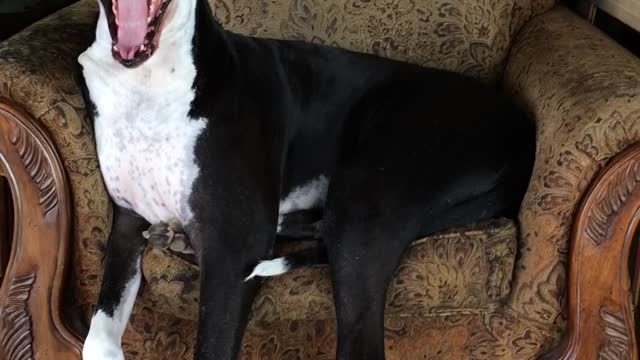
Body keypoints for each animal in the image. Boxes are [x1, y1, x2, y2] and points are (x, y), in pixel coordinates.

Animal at [79, 0, 536, 358]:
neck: (148, 79)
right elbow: (96, 340)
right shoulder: (128, 223)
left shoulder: (233, 253)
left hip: (369, 198)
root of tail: (524, 133)